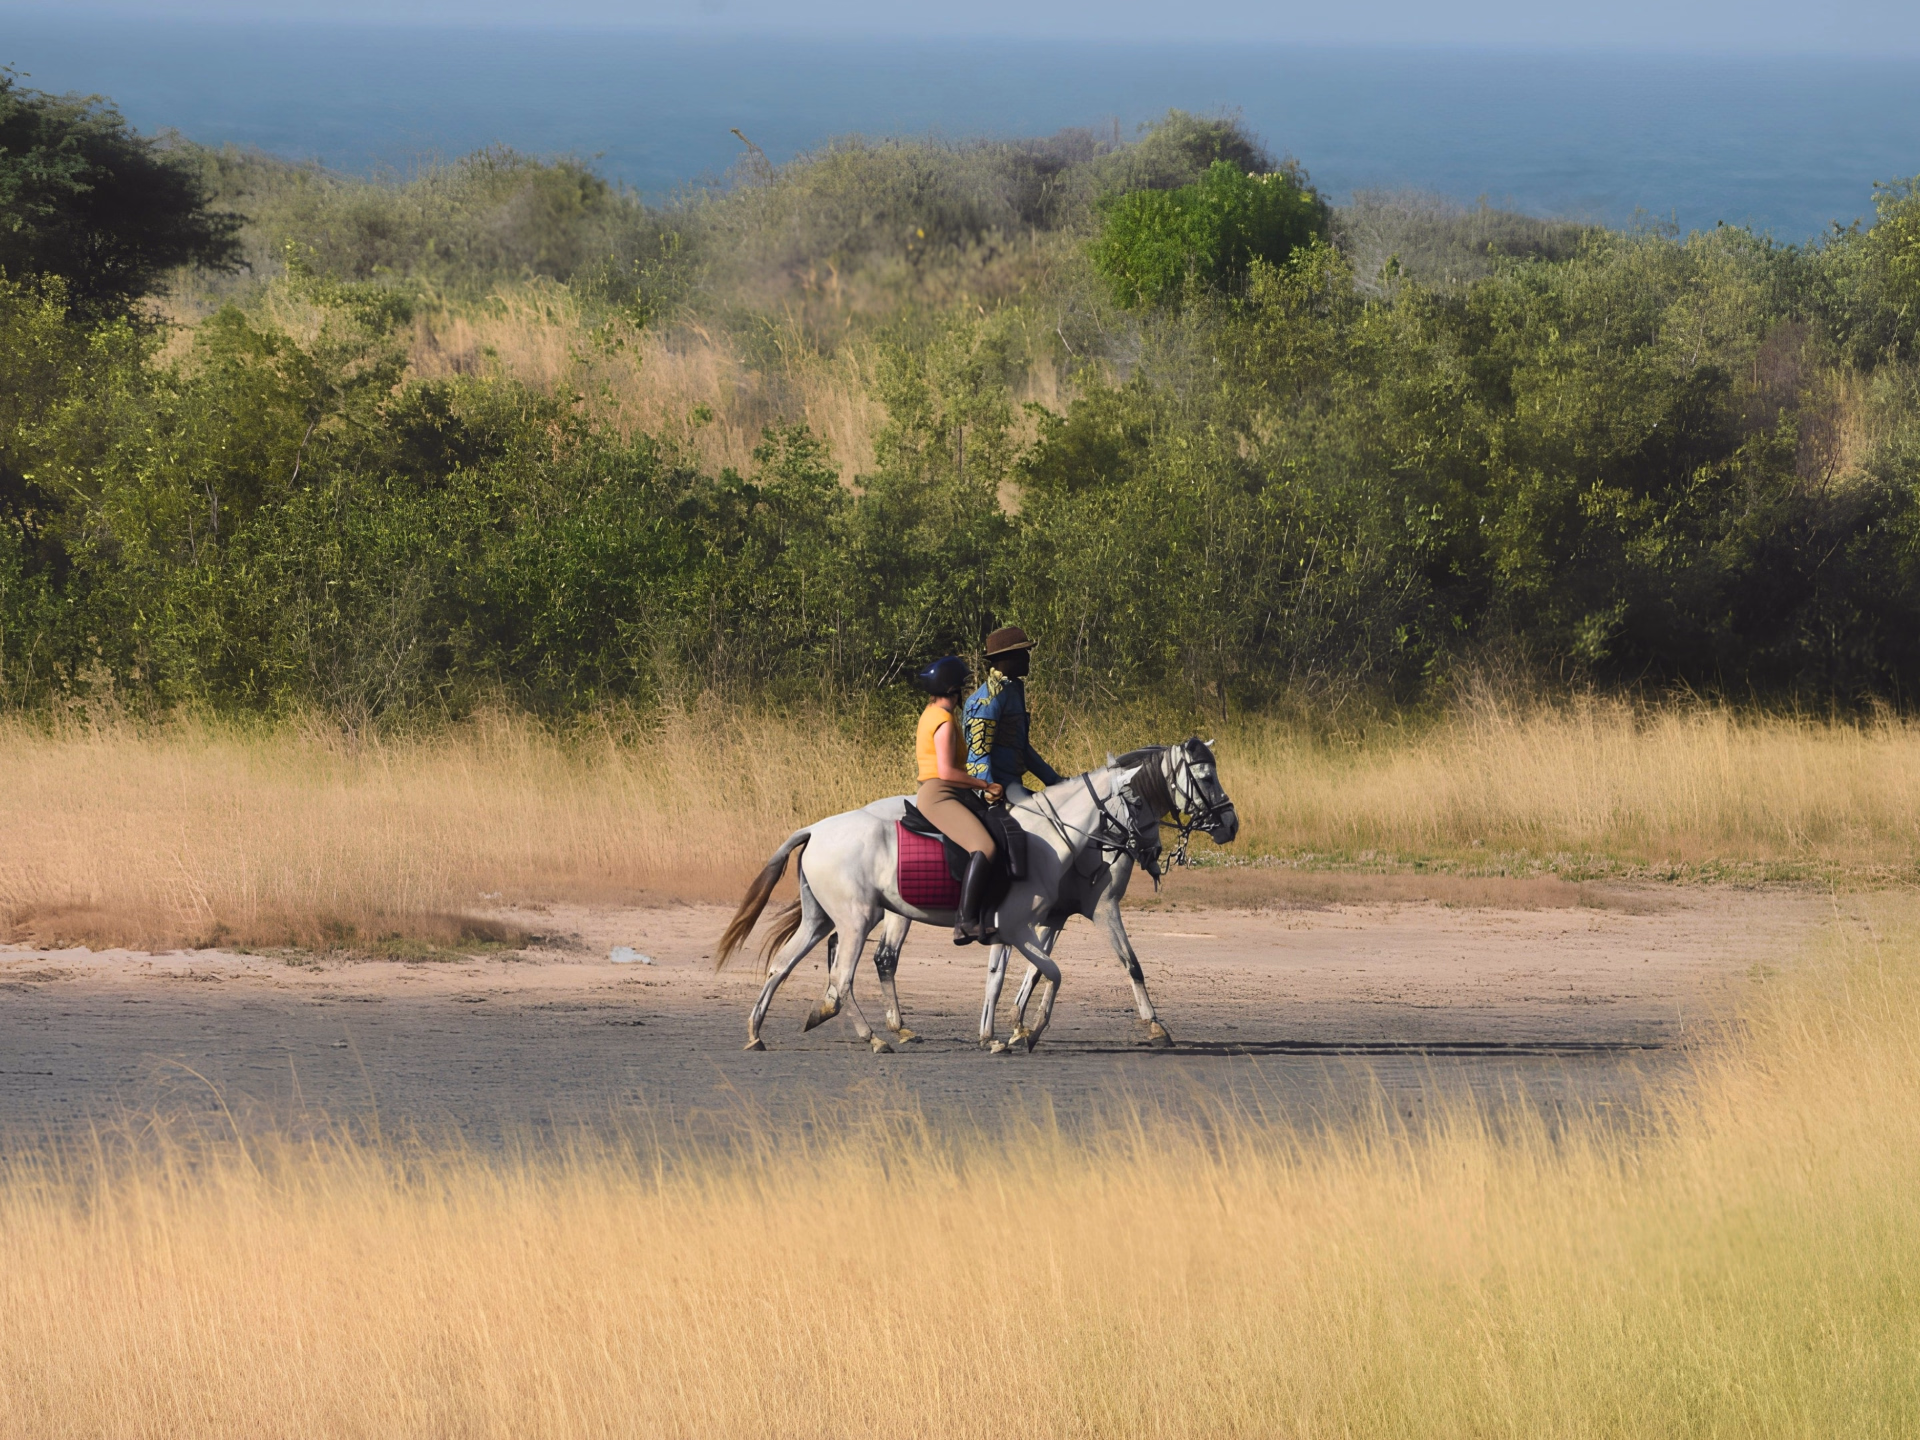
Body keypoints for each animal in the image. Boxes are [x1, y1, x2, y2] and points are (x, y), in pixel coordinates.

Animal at [716, 739, 1238, 1053]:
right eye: (1204, 778)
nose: (1230, 825)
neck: (1057, 835)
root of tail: (816, 829)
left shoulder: (1043, 920)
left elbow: (1020, 972)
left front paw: (1007, 1029)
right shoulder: (1084, 912)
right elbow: (1112, 965)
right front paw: (1153, 1026)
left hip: (826, 919)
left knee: (785, 965)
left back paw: (765, 1031)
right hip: (860, 919)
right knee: (848, 972)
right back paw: (873, 1034)